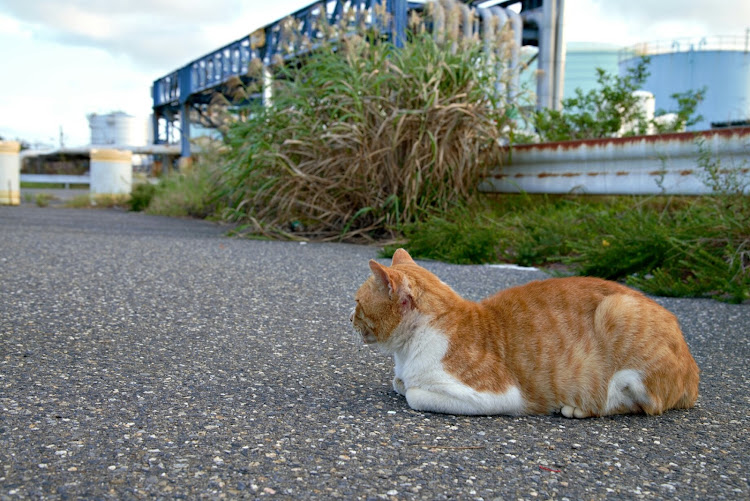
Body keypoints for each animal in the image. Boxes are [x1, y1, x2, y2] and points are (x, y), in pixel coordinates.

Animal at [350, 248, 704, 416]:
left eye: (356, 303)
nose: (349, 317)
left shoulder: (497, 394)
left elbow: (412, 393)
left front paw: (409, 387)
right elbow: (399, 383)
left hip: (619, 313)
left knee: (641, 405)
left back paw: (579, 408)